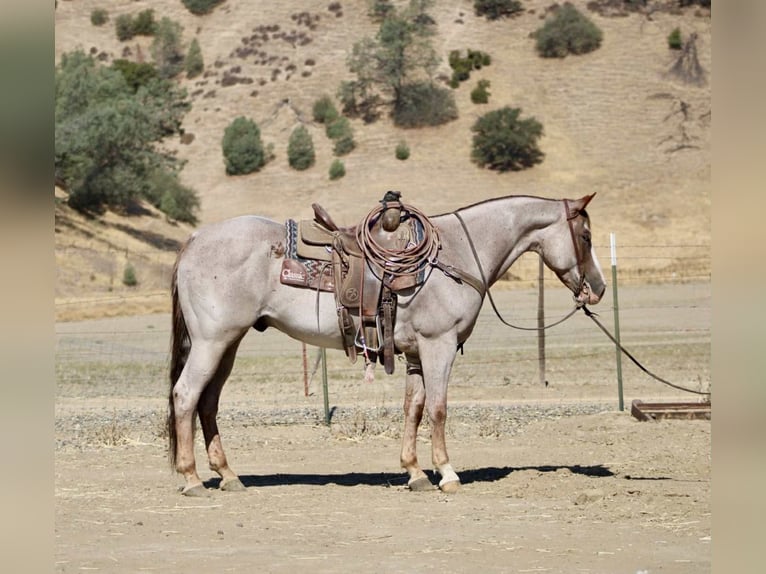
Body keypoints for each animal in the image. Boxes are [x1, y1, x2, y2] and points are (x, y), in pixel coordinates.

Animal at [167, 194, 606, 496]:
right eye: (585, 236)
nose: (598, 288)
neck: (457, 254)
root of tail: (195, 239)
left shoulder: (414, 353)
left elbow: (413, 408)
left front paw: (415, 472)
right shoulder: (438, 345)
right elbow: (438, 409)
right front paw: (447, 473)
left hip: (228, 344)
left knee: (208, 403)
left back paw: (228, 476)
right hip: (211, 342)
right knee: (186, 395)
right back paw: (191, 479)